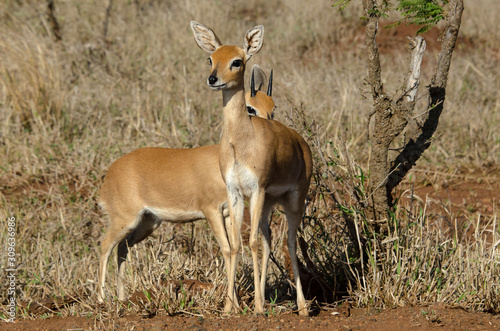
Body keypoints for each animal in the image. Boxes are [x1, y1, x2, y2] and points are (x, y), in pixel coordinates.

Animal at [98, 65, 276, 308]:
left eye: (272, 108)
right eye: (250, 108)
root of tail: (110, 174)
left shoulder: (228, 212)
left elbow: (234, 248)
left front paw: (236, 303)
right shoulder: (211, 211)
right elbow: (227, 249)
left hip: (147, 223)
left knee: (122, 248)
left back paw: (123, 298)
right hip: (124, 220)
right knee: (105, 247)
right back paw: (101, 299)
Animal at [191, 20, 312, 316]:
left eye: (237, 60)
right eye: (211, 58)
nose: (213, 79)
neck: (241, 141)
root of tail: (302, 142)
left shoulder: (256, 190)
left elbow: (252, 242)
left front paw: (256, 306)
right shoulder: (235, 193)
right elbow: (236, 245)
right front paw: (229, 307)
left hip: (293, 201)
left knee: (290, 242)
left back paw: (302, 306)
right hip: (269, 203)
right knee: (269, 242)